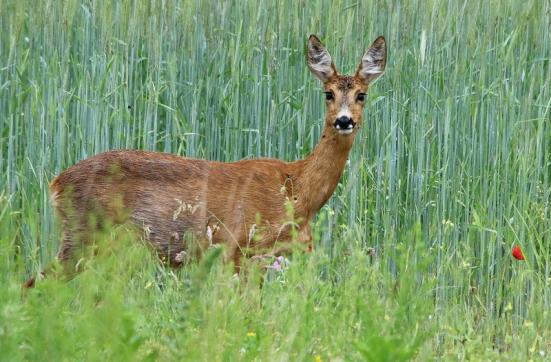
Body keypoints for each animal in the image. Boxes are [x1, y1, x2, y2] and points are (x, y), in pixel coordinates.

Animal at [23, 34, 386, 288]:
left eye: (361, 95)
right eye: (328, 93)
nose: (343, 120)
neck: (298, 189)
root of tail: (55, 183)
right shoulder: (238, 249)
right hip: (83, 235)